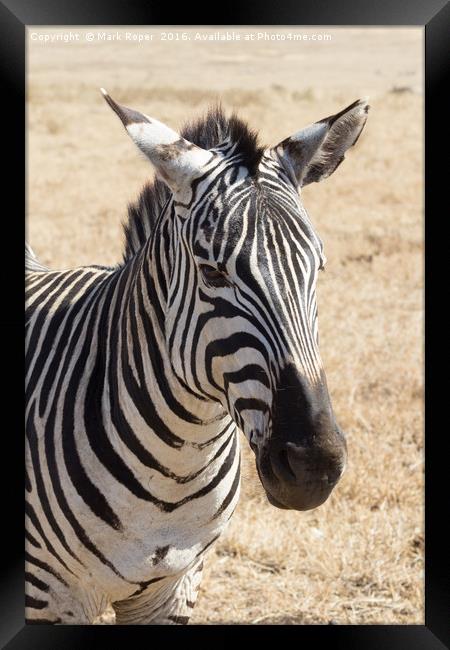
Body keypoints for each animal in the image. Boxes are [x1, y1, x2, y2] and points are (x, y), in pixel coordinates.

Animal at [25, 91, 370, 624]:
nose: (314, 464)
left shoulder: (175, 588)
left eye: (319, 268)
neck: (176, 469)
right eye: (211, 272)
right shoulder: (51, 598)